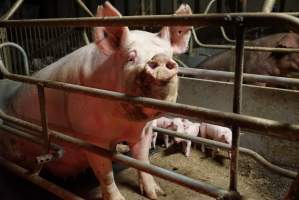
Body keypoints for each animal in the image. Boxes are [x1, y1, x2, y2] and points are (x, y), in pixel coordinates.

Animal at [0, 1, 193, 200]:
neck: (126, 124)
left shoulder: (145, 130)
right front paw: (119, 199)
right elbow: (105, 174)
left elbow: (143, 161)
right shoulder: (90, 137)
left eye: (168, 55)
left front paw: (156, 194)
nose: (160, 59)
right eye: (130, 57)